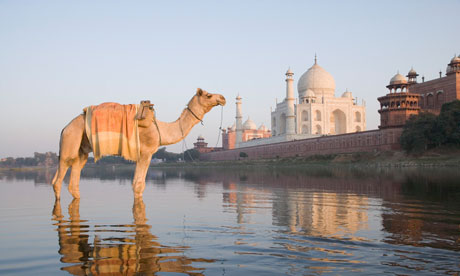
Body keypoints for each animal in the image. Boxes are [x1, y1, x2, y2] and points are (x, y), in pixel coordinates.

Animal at [52, 88, 226, 198]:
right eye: (208, 95)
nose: (223, 98)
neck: (162, 129)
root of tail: (64, 128)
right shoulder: (146, 153)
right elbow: (138, 185)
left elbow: (138, 184)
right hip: (70, 140)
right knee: (58, 180)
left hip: (81, 150)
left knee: (74, 181)